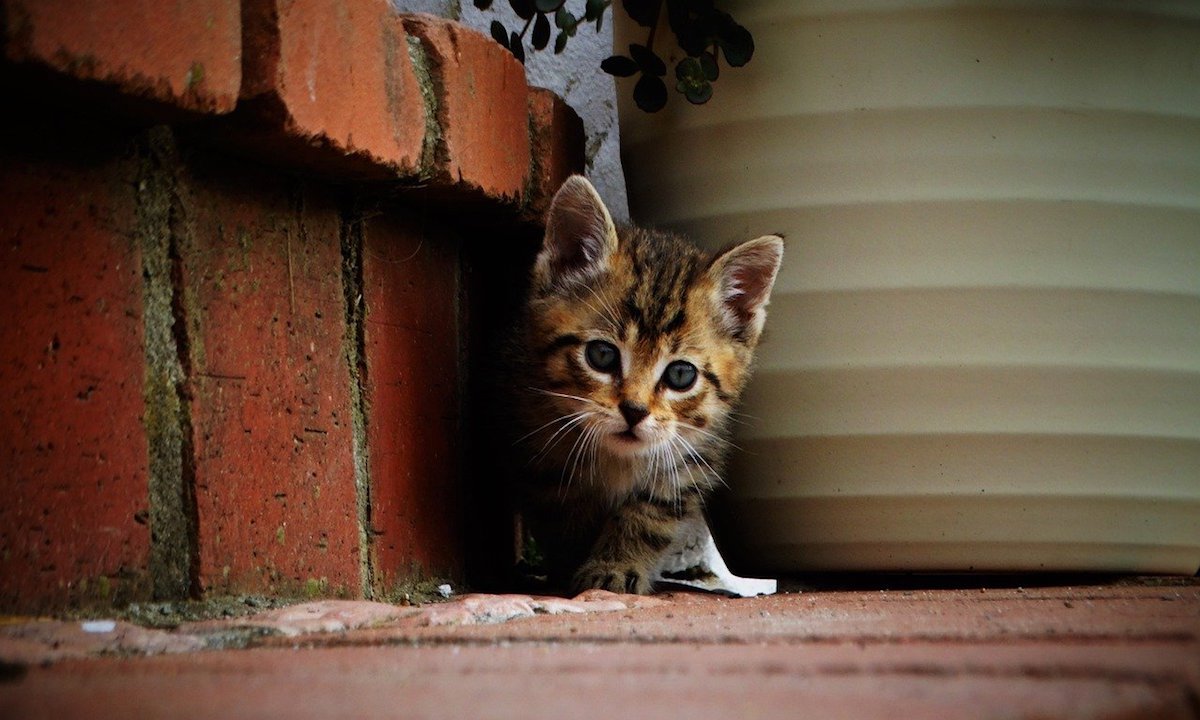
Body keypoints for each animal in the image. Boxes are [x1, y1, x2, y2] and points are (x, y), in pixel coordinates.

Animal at [511, 175, 782, 595]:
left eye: (681, 375)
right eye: (602, 355)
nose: (634, 411)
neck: (616, 459)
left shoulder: (690, 458)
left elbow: (649, 514)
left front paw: (615, 567)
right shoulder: (539, 444)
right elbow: (564, 514)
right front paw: (571, 566)